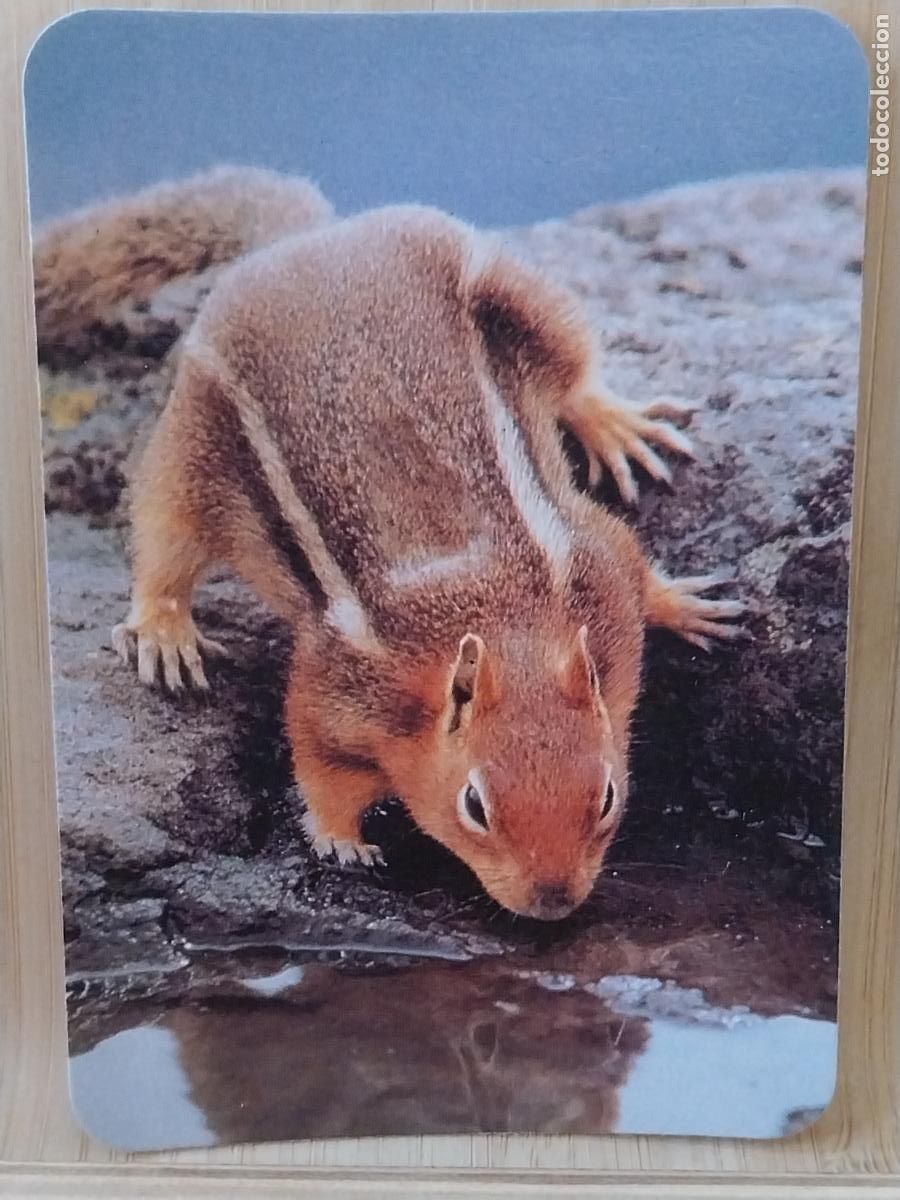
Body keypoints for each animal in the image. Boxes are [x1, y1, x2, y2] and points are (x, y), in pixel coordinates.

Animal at [33, 167, 743, 920]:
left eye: (607, 795)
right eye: (475, 805)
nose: (553, 900)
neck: (504, 621)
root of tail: (312, 237)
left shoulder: (597, 567)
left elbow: (630, 556)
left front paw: (687, 606)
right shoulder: (335, 681)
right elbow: (317, 760)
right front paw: (340, 840)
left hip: (525, 299)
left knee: (577, 376)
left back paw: (615, 424)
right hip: (193, 441)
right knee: (164, 538)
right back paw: (164, 632)